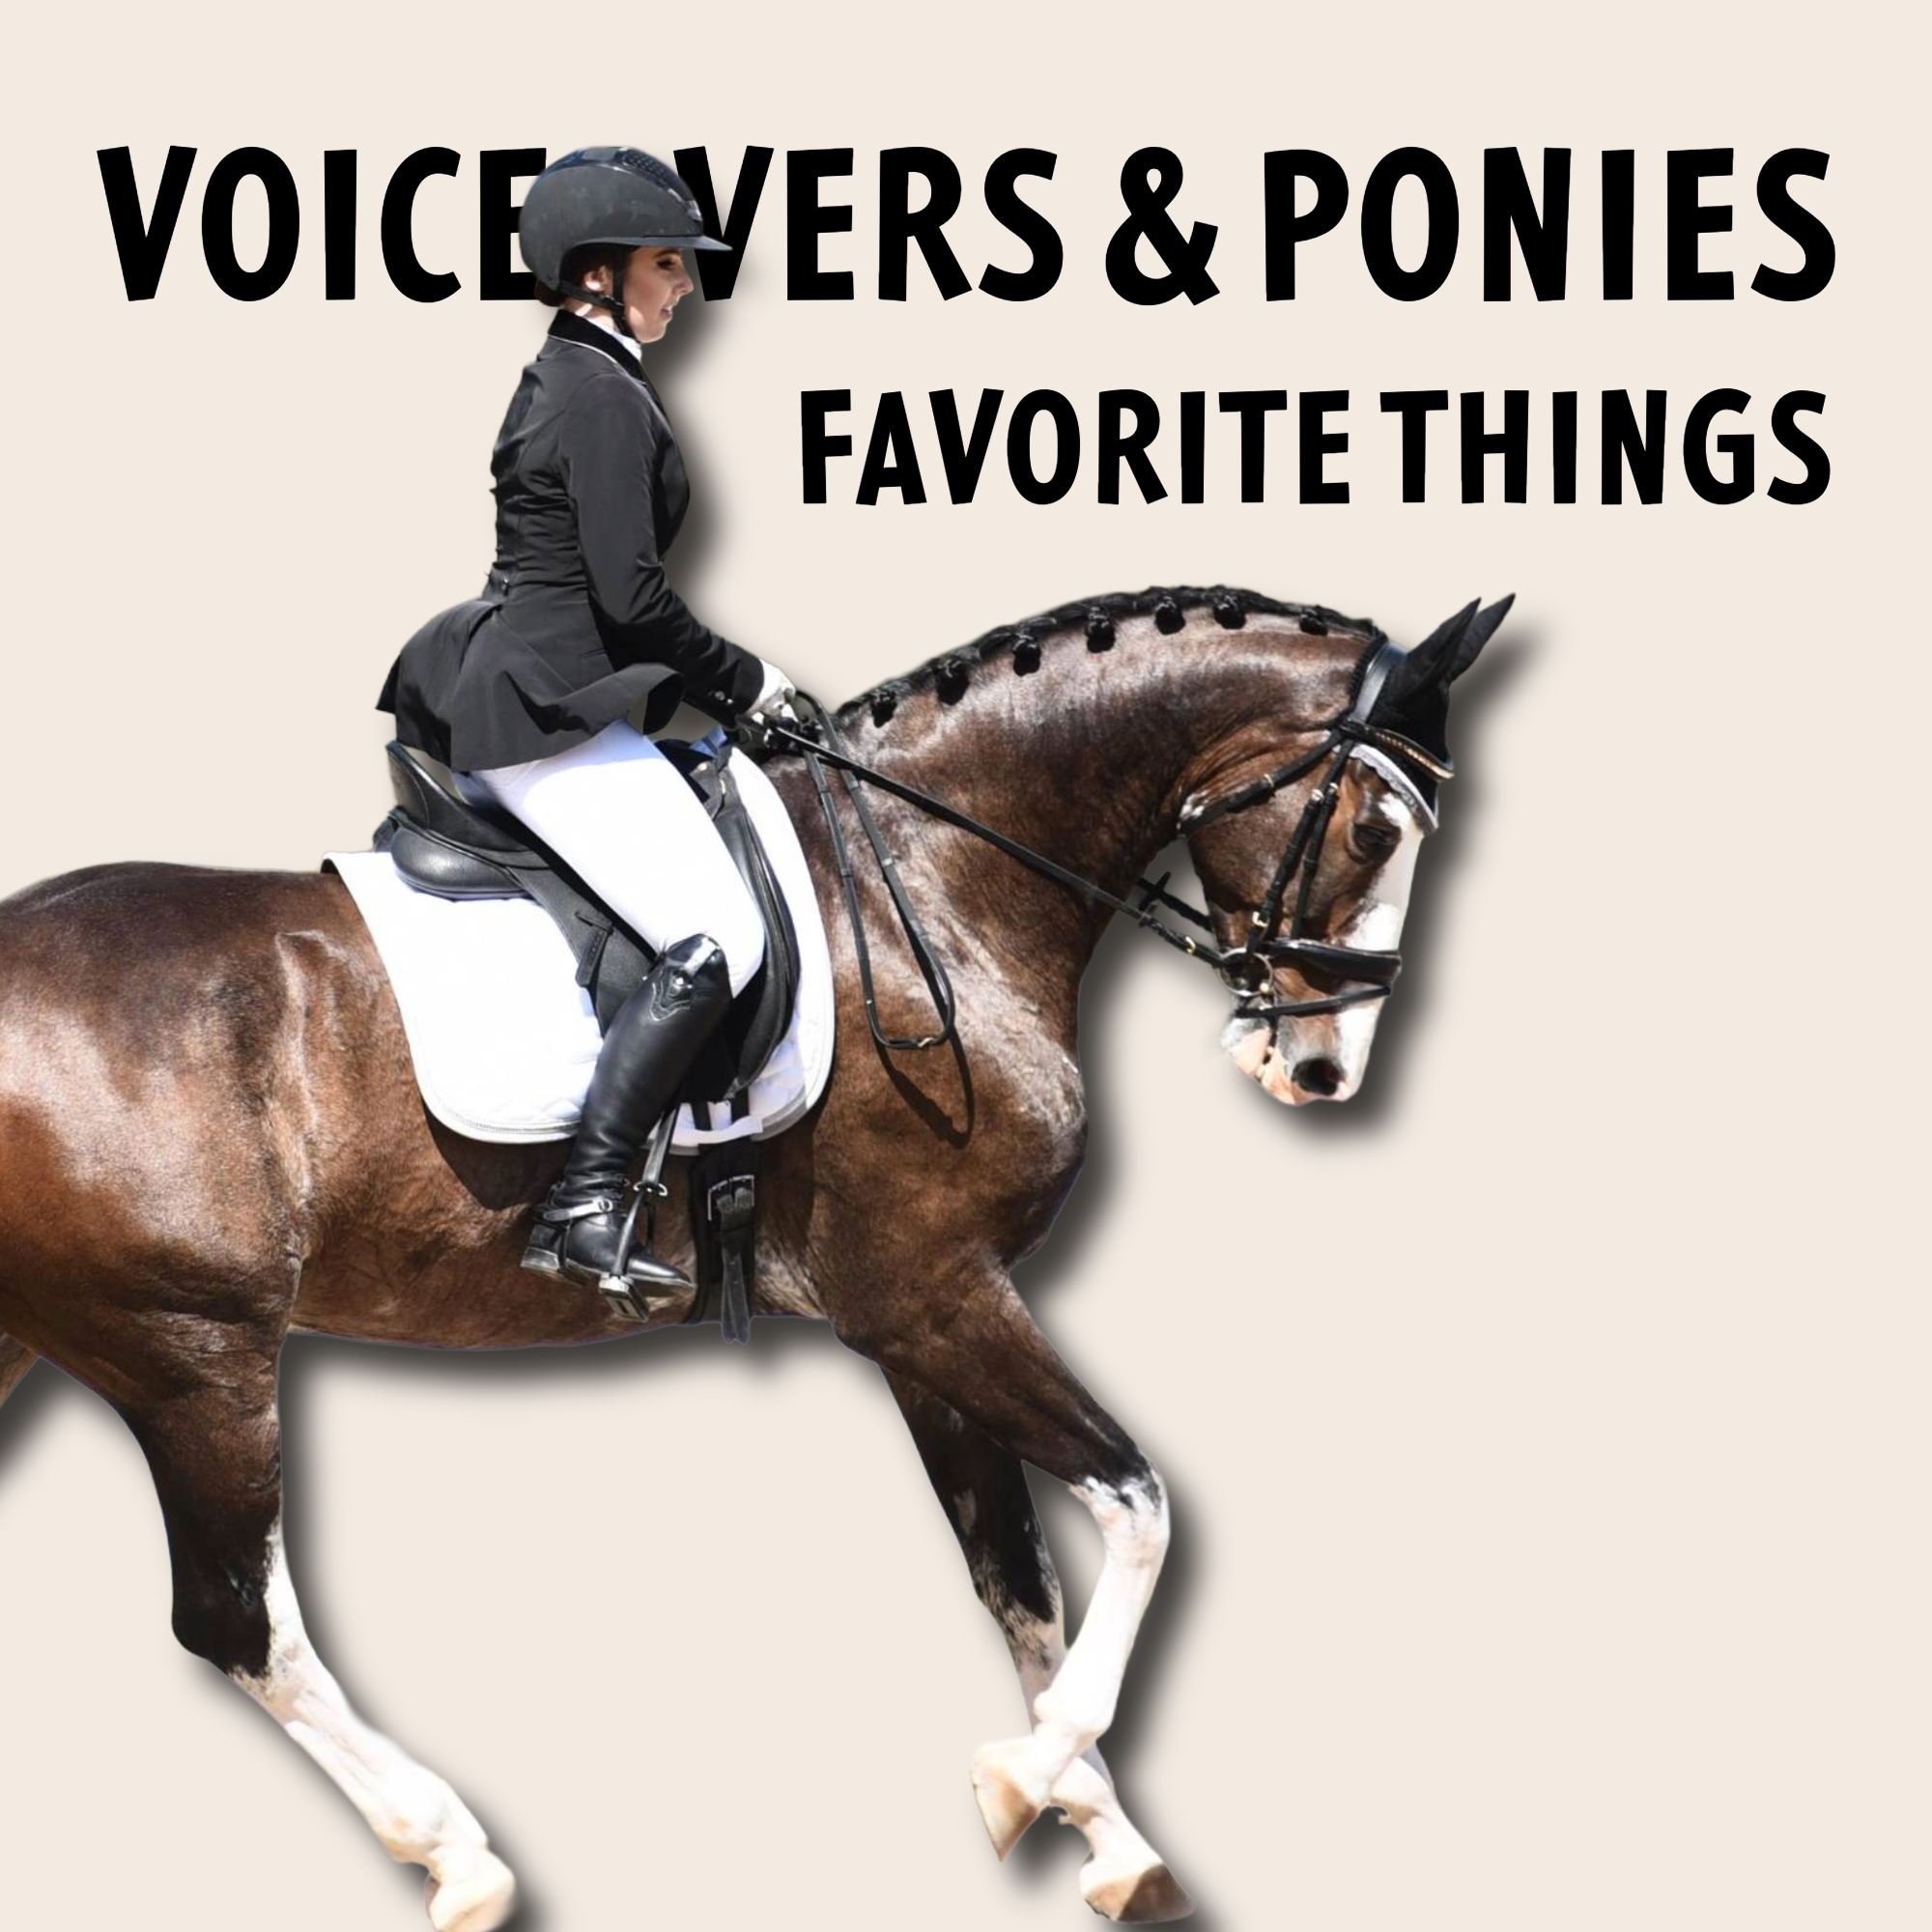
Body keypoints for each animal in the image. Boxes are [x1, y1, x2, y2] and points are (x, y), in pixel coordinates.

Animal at [0, 583, 1505, 1929]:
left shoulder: (923, 1324)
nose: (1321, 1069)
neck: (932, 882)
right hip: (194, 1359)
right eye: (1374, 826)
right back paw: (457, 1856)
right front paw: (1024, 1780)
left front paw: (1107, 1839)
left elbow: (1015, 1577)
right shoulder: (932, 1293)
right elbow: (1140, 1506)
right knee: (233, 1620)